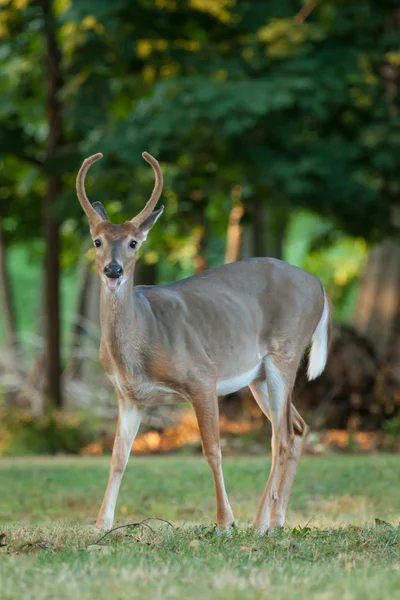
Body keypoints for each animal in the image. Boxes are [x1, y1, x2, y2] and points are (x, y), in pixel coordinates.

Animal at [76, 152, 332, 532]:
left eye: (134, 242)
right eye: (97, 241)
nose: (113, 270)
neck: (141, 342)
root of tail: (320, 286)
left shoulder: (201, 377)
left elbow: (213, 450)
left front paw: (225, 522)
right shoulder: (130, 395)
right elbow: (118, 456)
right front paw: (101, 524)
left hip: (284, 352)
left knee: (281, 436)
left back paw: (259, 522)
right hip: (258, 375)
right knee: (297, 428)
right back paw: (275, 520)